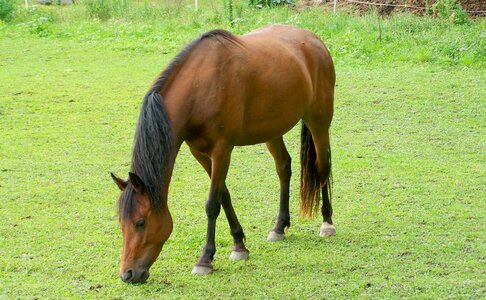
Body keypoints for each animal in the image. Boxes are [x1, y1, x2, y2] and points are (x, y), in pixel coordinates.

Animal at [112, 24, 336, 282]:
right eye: (122, 223)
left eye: (140, 222)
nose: (127, 274)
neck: (200, 86)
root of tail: (314, 40)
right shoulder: (199, 152)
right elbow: (224, 195)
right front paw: (239, 245)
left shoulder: (222, 149)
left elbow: (212, 203)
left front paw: (205, 259)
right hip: (273, 129)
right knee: (284, 167)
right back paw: (279, 227)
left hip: (318, 121)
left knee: (322, 167)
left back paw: (327, 223)